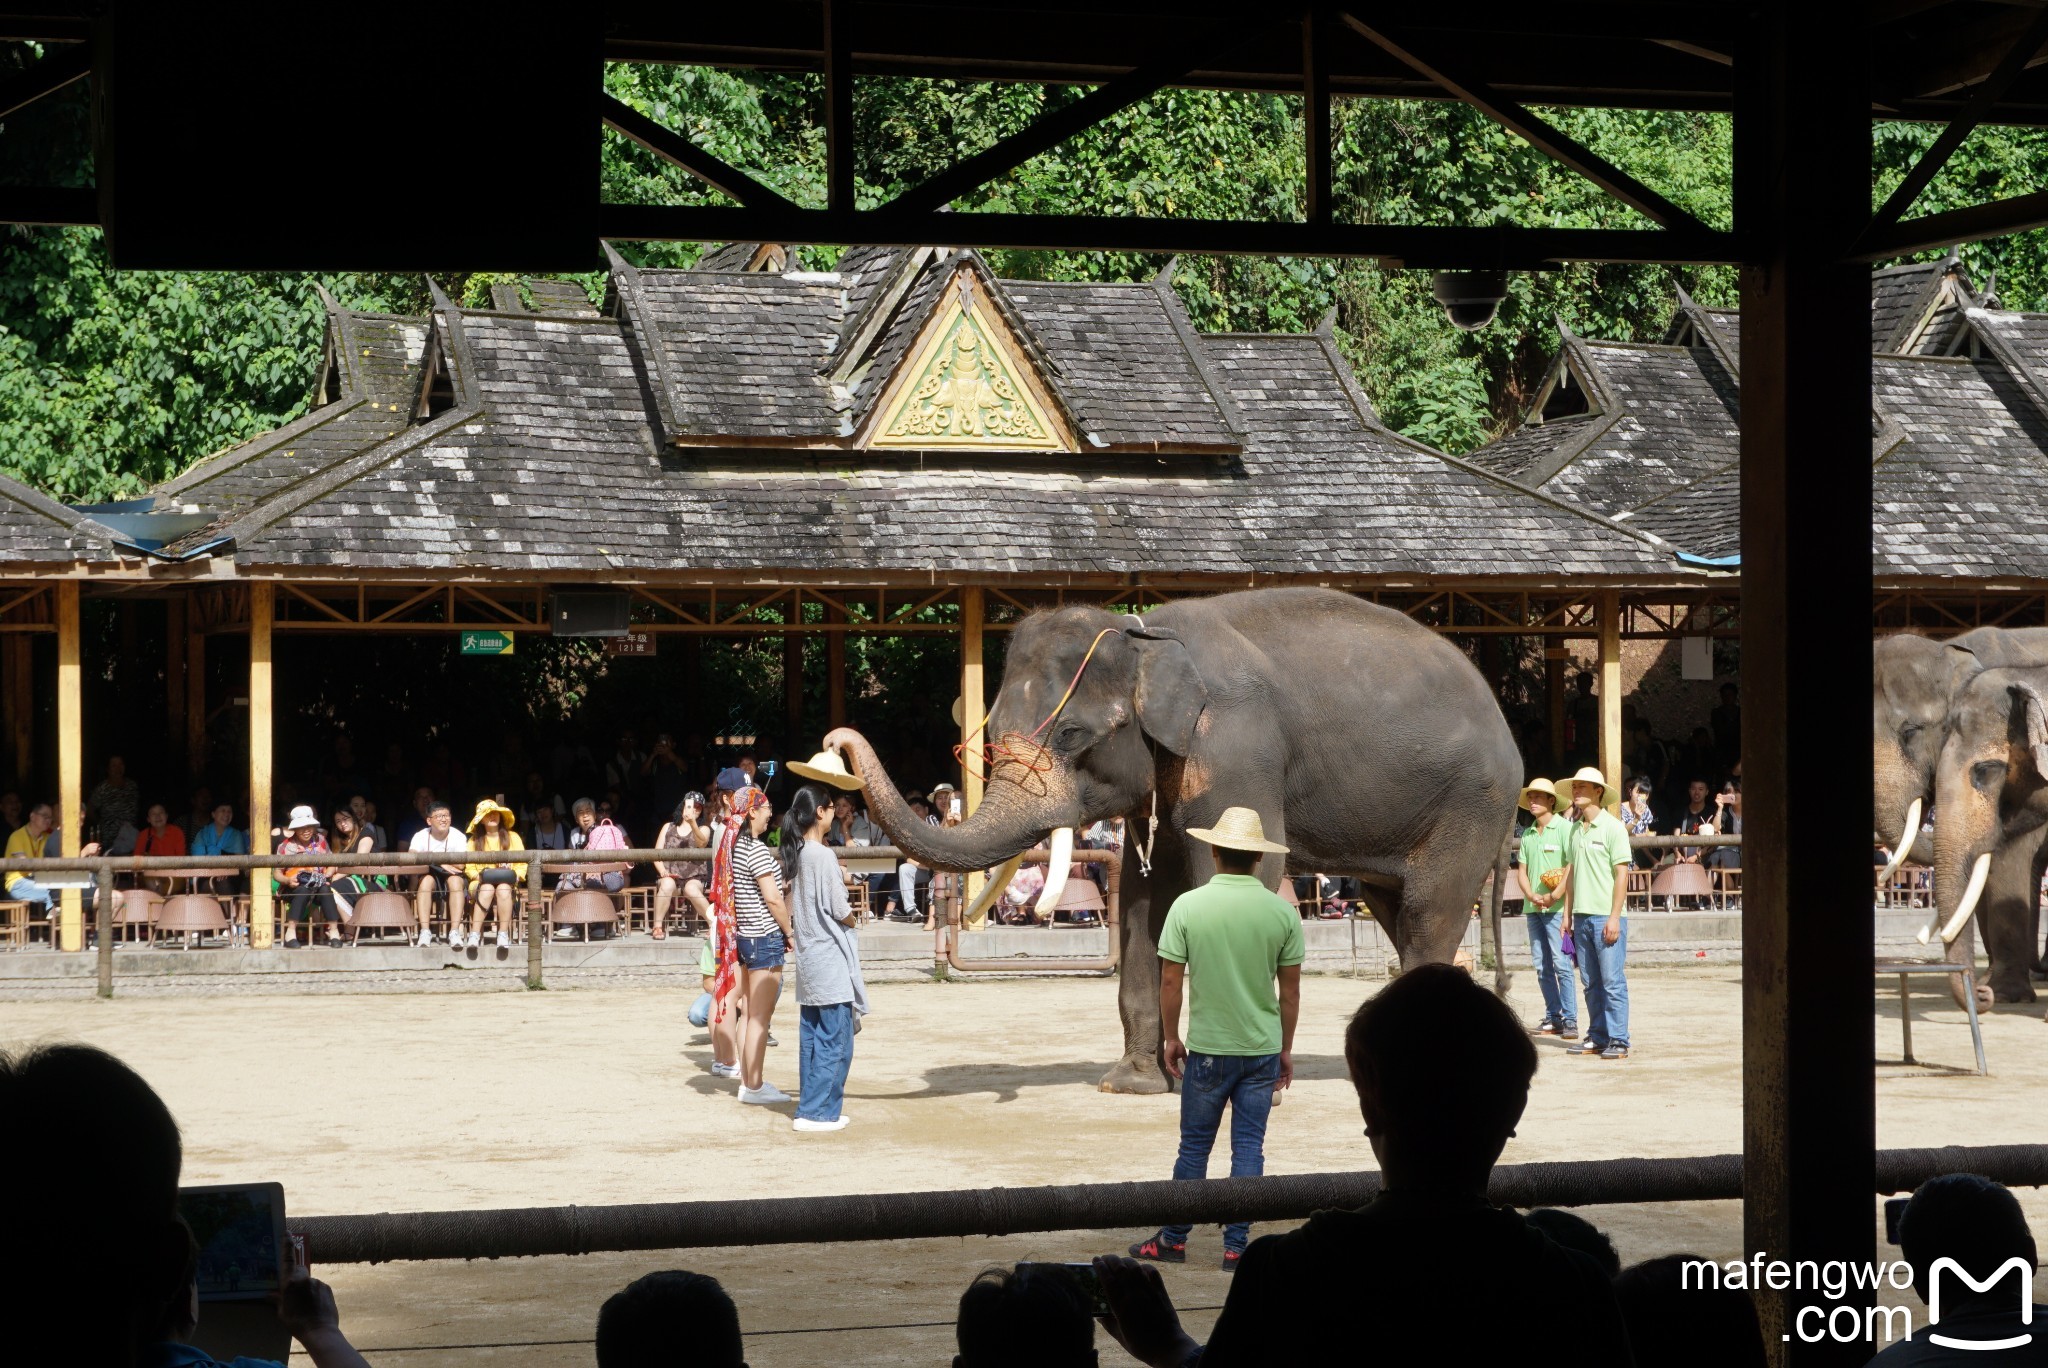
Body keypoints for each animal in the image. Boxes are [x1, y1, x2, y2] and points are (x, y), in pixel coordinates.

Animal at [815, 581, 1523, 1097]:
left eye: (1070, 734)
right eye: (991, 736)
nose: (834, 740)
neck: (1145, 635)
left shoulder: (1236, 752)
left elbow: (1233, 880)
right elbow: (1143, 903)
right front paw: (1131, 1085)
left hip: (1471, 803)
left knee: (1430, 913)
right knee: (1396, 909)